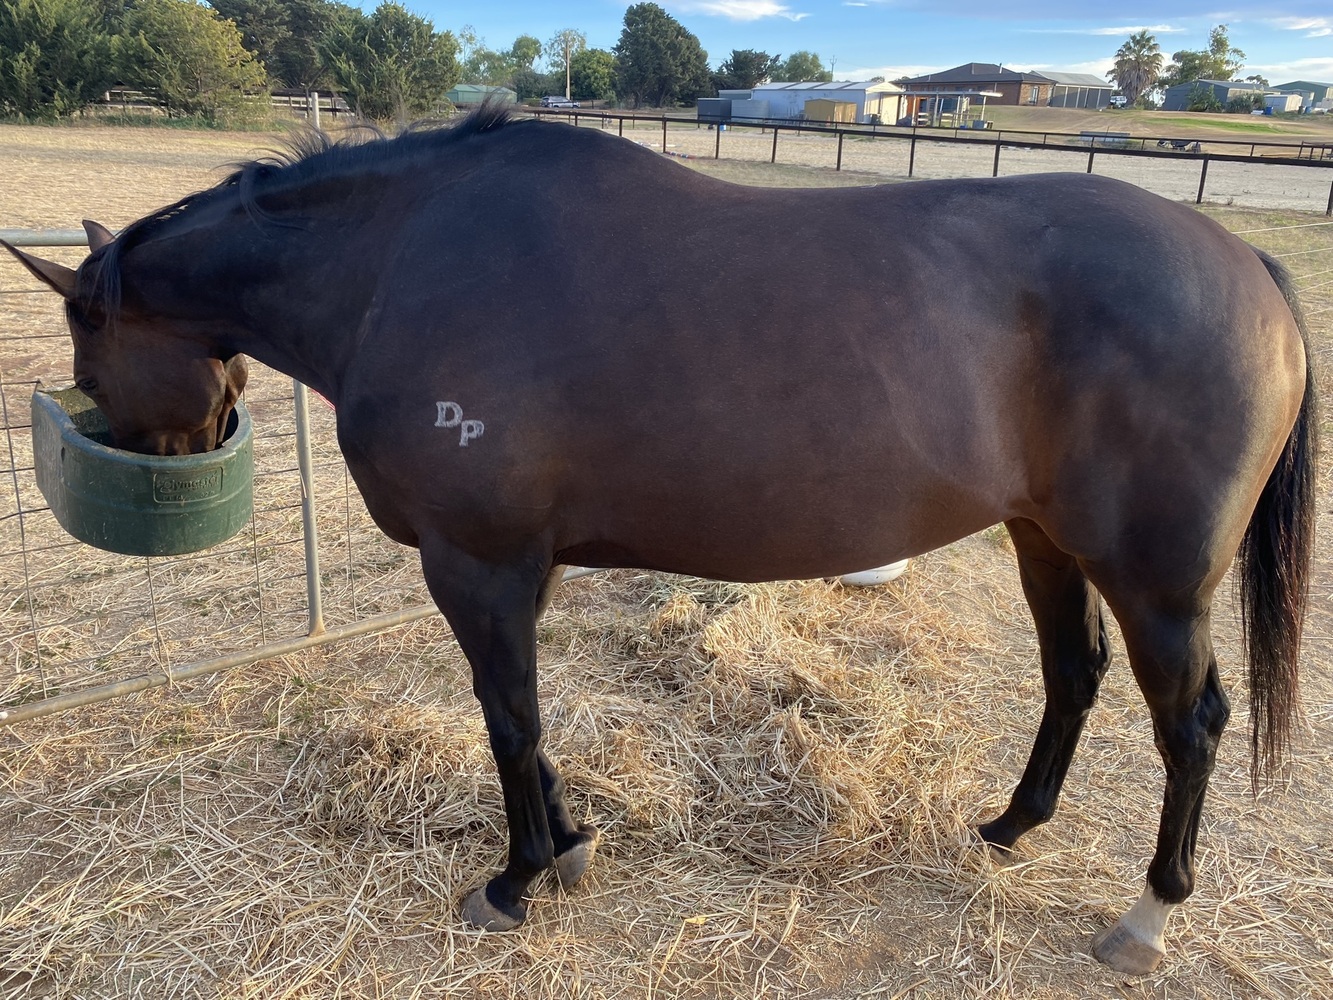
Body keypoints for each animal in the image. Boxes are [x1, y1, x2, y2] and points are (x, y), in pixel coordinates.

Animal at [5, 107, 1316, 975]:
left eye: (86, 359)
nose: (171, 447)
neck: (400, 259)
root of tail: (1242, 263)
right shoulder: (514, 570)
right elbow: (525, 719)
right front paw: (570, 845)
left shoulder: (475, 563)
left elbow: (508, 717)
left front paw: (517, 877)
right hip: (1045, 538)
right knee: (1071, 675)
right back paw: (1007, 827)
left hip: (1158, 579)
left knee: (1191, 723)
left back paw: (1146, 916)